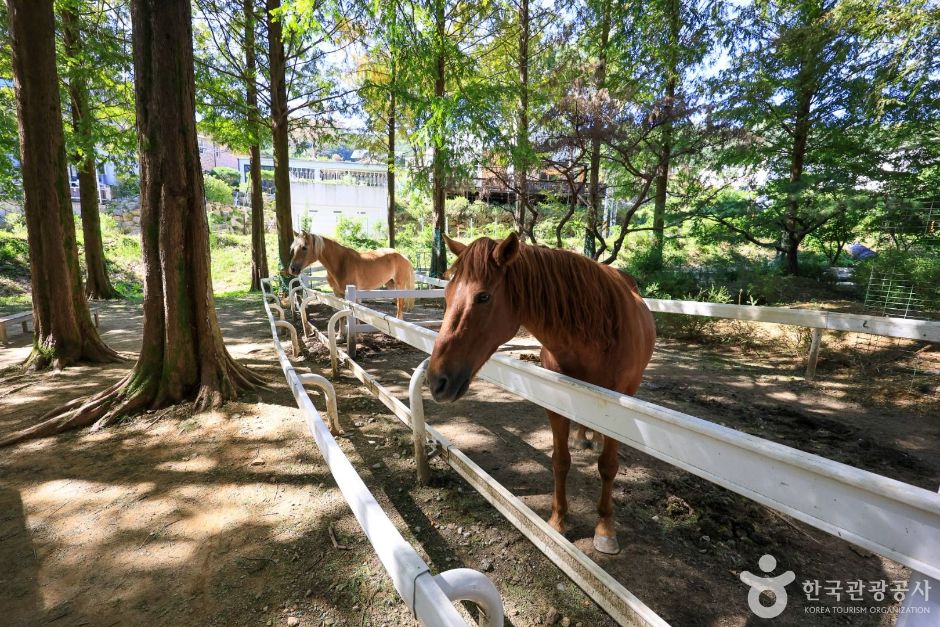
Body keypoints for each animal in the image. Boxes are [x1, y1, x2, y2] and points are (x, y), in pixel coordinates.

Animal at [286, 232, 414, 318]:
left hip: (400, 286)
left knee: (400, 303)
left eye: (304, 247)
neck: (340, 263)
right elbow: (342, 318)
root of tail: (402, 256)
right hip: (390, 284)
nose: (292, 269)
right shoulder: (338, 294)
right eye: (293, 248)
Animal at [426, 234, 652, 556]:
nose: (437, 381)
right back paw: (582, 437)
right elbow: (560, 461)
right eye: (446, 294)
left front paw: (605, 529)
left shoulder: (619, 412)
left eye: (483, 297)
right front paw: (557, 521)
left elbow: (608, 467)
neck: (598, 335)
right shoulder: (557, 403)